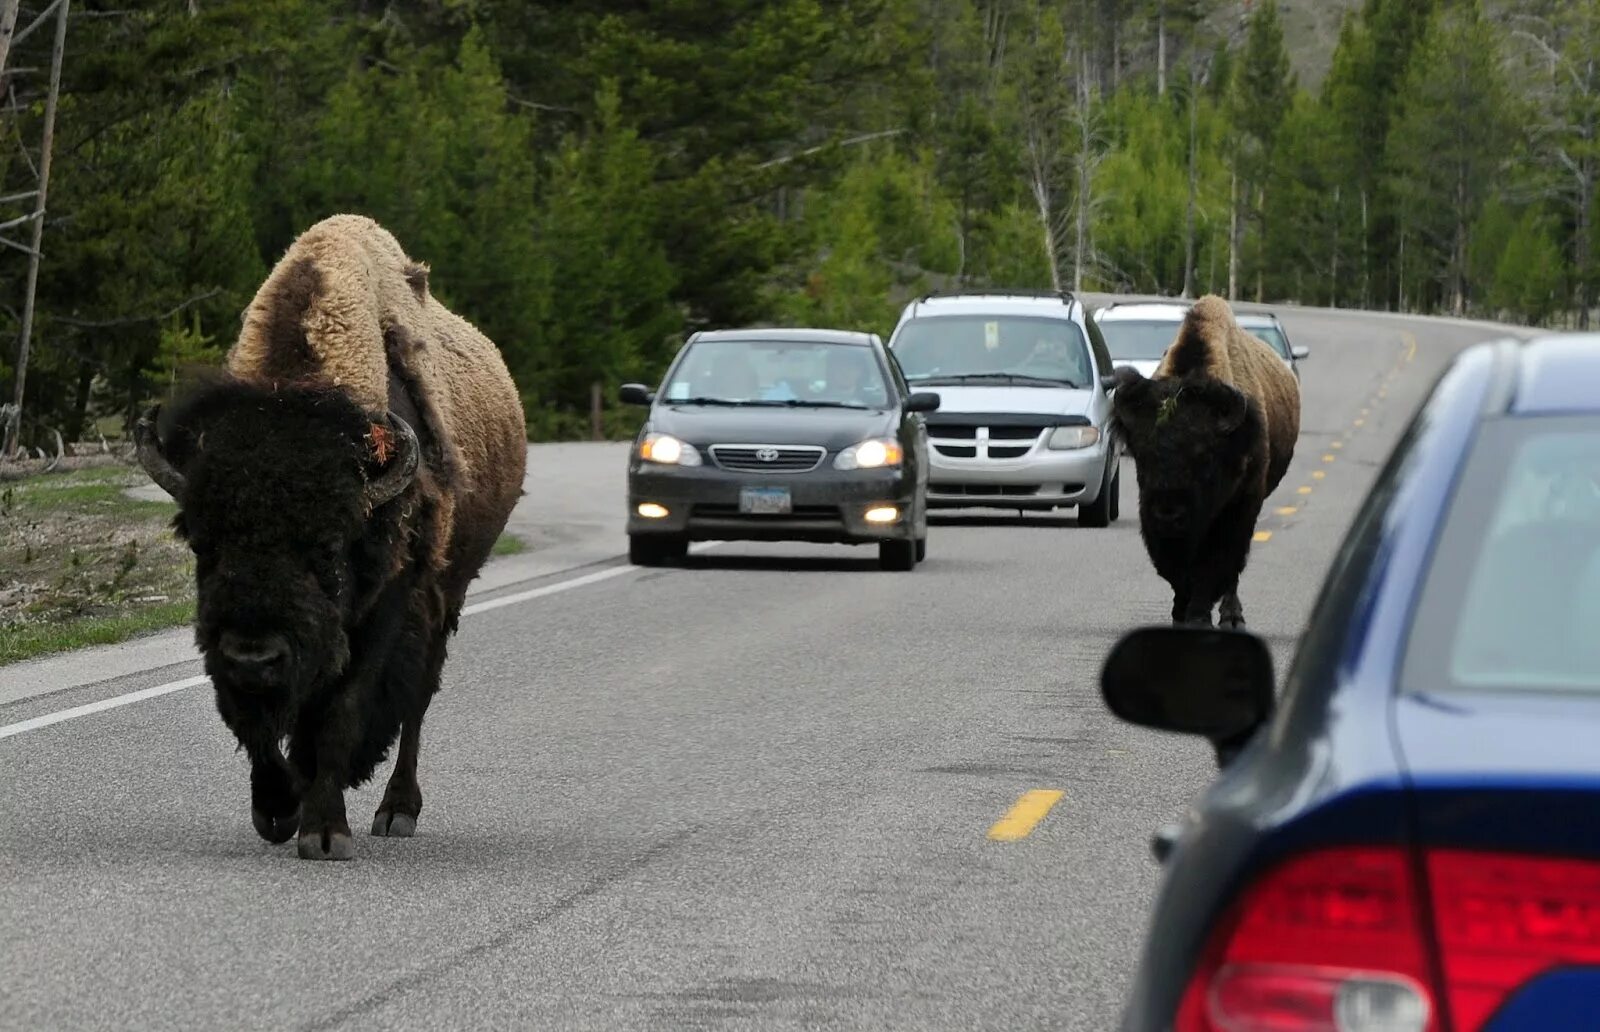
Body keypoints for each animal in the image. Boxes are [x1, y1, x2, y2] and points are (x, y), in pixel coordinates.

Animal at [135, 212, 528, 857]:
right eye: (202, 543)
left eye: (328, 547)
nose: (253, 653)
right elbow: (260, 722)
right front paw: (276, 810)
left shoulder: (387, 607)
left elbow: (343, 709)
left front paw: (324, 831)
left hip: (450, 594)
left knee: (417, 700)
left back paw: (397, 811)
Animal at [1113, 296, 1299, 627]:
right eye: (1141, 454)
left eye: (1204, 455)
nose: (1168, 513)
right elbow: (1177, 573)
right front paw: (1180, 614)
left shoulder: (1238, 509)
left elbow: (1215, 566)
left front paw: (1199, 617)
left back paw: (1231, 617)